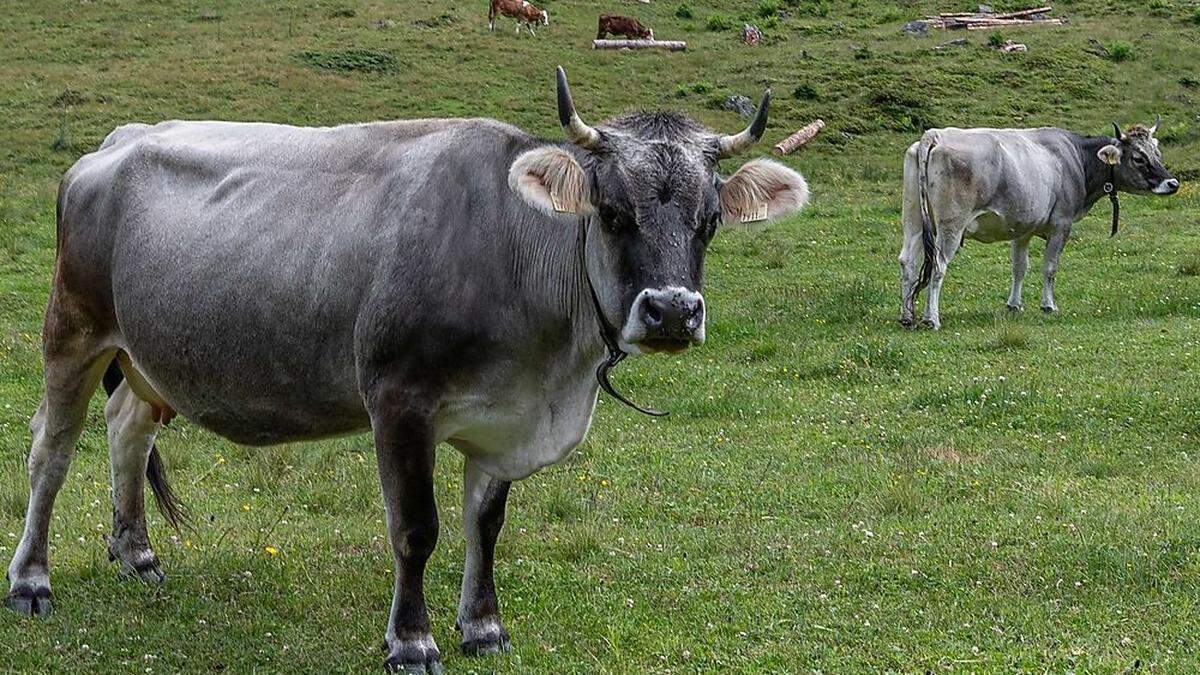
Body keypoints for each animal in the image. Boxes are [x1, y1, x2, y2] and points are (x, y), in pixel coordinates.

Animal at [7, 65, 806, 667]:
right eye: (611, 213)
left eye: (709, 222)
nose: (672, 312)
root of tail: (121, 138)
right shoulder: (398, 399)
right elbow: (417, 529)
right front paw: (413, 641)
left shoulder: (503, 418)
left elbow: (487, 524)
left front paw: (482, 625)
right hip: (73, 329)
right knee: (52, 450)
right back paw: (30, 580)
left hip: (146, 354)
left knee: (127, 427)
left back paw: (136, 553)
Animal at [897, 118, 1176, 329]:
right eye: (1138, 158)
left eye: (1157, 153)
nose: (1172, 183)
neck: (1076, 157)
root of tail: (935, 134)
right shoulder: (1062, 224)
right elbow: (1050, 268)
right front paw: (1048, 305)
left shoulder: (1022, 228)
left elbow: (1019, 267)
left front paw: (1013, 305)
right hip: (951, 227)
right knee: (938, 266)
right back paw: (931, 319)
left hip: (913, 220)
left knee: (907, 261)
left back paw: (906, 316)